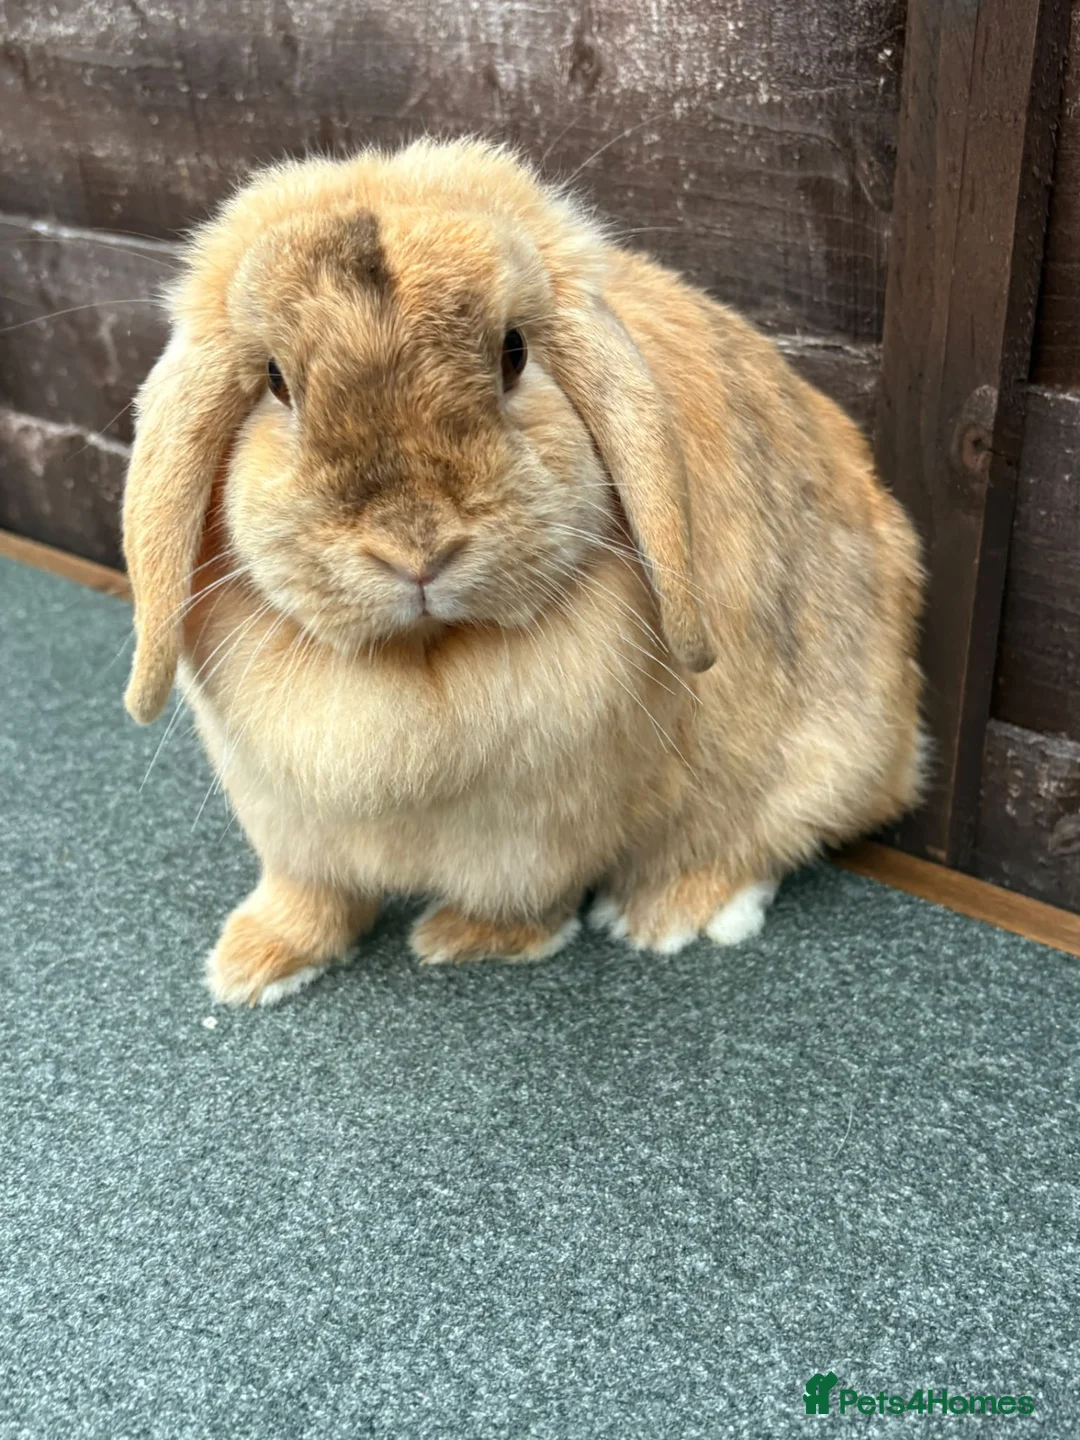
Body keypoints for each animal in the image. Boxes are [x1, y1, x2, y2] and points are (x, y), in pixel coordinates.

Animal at [121, 137, 926, 1006]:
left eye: (514, 353)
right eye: (275, 381)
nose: (418, 550)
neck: (423, 661)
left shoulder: (535, 832)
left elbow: (529, 898)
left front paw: (469, 940)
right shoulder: (292, 825)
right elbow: (311, 891)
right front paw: (252, 963)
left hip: (804, 756)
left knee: (761, 836)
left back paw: (667, 915)